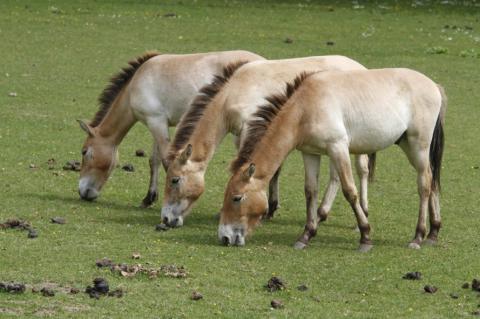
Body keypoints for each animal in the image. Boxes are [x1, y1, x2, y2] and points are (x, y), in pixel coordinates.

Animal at [76, 50, 262, 205]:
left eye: (84, 152)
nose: (83, 192)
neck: (135, 84)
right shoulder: (157, 123)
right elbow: (154, 160)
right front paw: (149, 197)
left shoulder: (156, 122)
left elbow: (166, 161)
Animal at [159, 56, 370, 229]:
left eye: (174, 180)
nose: (166, 220)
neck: (233, 92)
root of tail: (360, 67)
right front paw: (270, 208)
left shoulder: (248, 130)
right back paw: (323, 213)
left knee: (361, 170)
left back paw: (361, 213)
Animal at [218, 68, 446, 252]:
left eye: (236, 198)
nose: (224, 237)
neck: (305, 107)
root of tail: (433, 85)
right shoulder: (310, 153)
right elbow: (311, 191)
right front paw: (306, 235)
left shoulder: (338, 148)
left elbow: (350, 192)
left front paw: (365, 237)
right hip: (408, 145)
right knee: (433, 180)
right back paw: (433, 233)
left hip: (418, 146)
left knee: (425, 184)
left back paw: (418, 236)